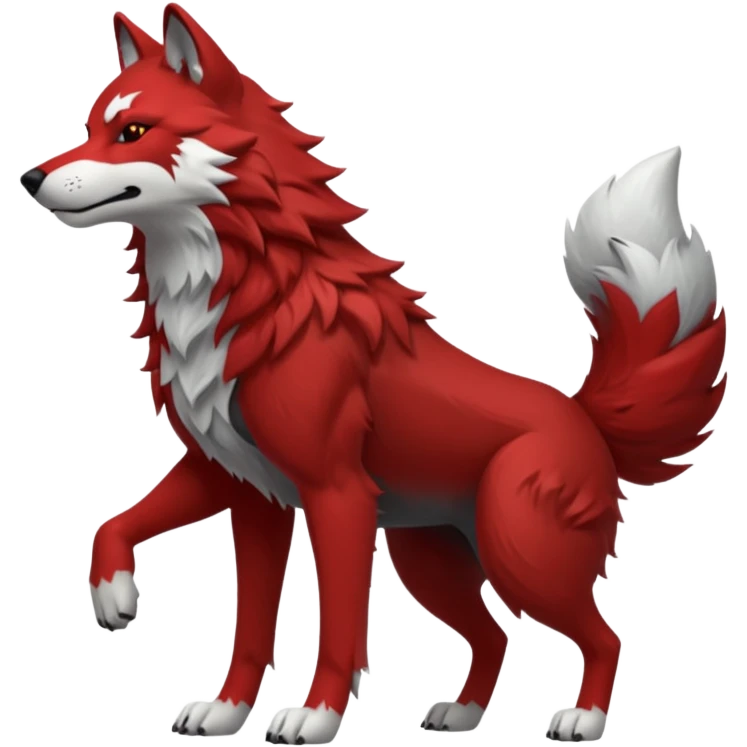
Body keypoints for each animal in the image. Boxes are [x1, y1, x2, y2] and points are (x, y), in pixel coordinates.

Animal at [19, 4, 726, 743]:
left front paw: (315, 716)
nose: (31, 178)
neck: (255, 296)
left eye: (133, 132)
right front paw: (204, 687)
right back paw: (462, 712)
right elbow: (180, 574)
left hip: (518, 555)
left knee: (603, 633)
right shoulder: (242, 486)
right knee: (495, 636)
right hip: (426, 560)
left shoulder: (338, 495)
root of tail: (583, 412)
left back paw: (583, 718)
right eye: (90, 127)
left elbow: (339, 628)